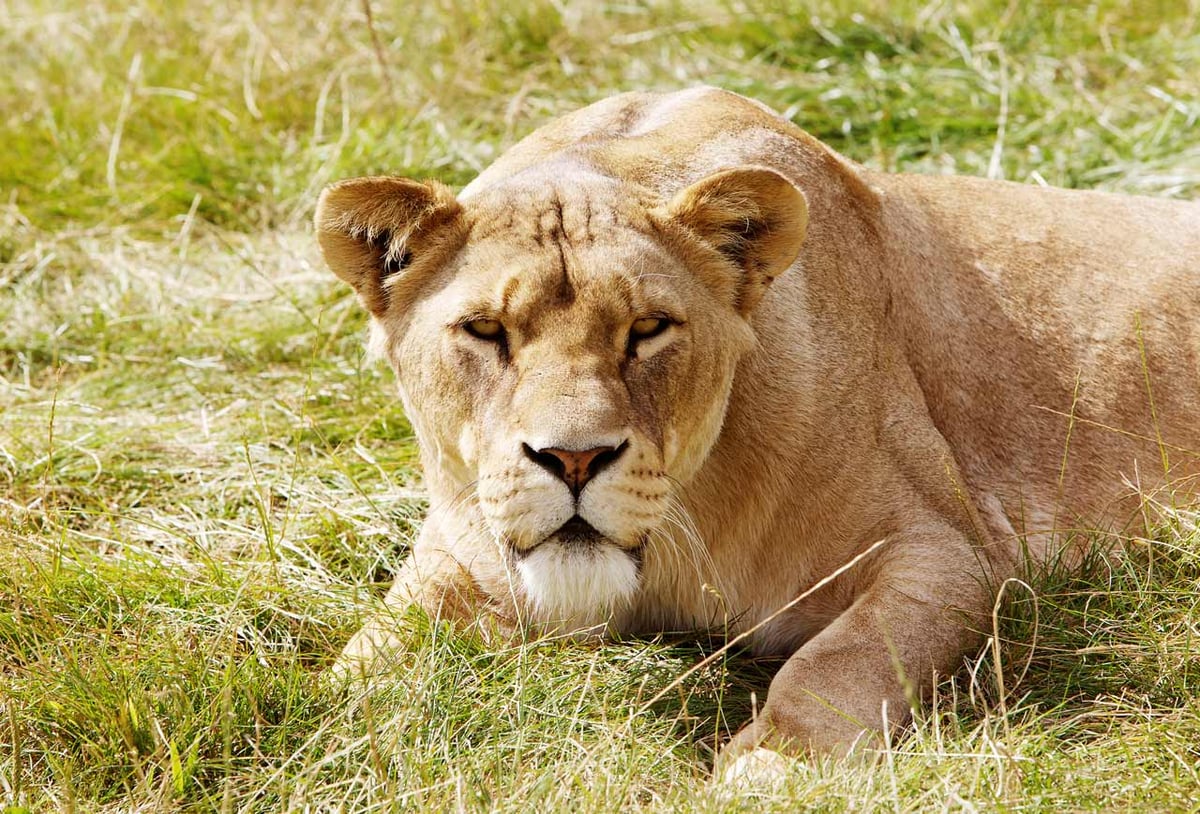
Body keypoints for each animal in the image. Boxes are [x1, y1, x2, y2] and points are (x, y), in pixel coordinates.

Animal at [314, 86, 1200, 770]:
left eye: (648, 329)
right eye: (486, 330)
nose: (573, 458)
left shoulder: (948, 549)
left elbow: (839, 662)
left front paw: (774, 767)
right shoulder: (453, 560)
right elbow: (357, 670)